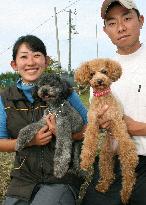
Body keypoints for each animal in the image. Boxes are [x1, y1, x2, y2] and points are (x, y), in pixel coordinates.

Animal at [74, 58, 139, 204]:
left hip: (121, 158)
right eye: (91, 74)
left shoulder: (117, 121)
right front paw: (85, 162)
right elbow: (88, 142)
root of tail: (115, 151)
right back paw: (103, 186)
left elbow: (125, 140)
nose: (99, 81)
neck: (102, 98)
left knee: (129, 176)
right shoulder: (93, 123)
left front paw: (132, 157)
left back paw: (125, 195)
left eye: (104, 71)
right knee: (108, 173)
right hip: (105, 155)